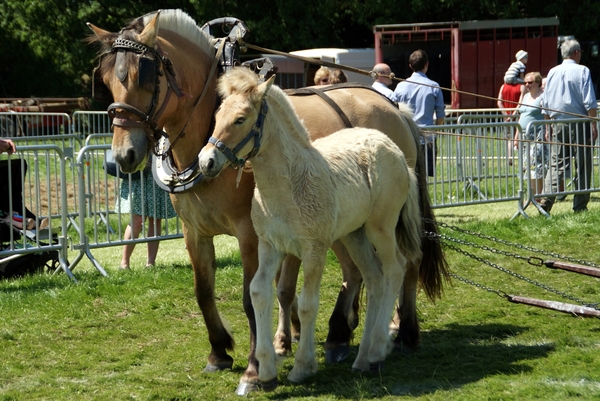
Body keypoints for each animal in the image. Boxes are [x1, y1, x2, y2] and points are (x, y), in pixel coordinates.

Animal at [198, 67, 422, 390]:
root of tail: (394, 148)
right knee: (375, 278)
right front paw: (264, 372)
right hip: (355, 235)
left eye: (240, 119)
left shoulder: (314, 249)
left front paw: (302, 366)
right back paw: (362, 358)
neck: (288, 184)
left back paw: (378, 349)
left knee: (395, 269)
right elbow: (259, 293)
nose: (206, 162)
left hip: (381, 228)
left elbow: (306, 304)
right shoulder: (269, 246)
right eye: (217, 117)